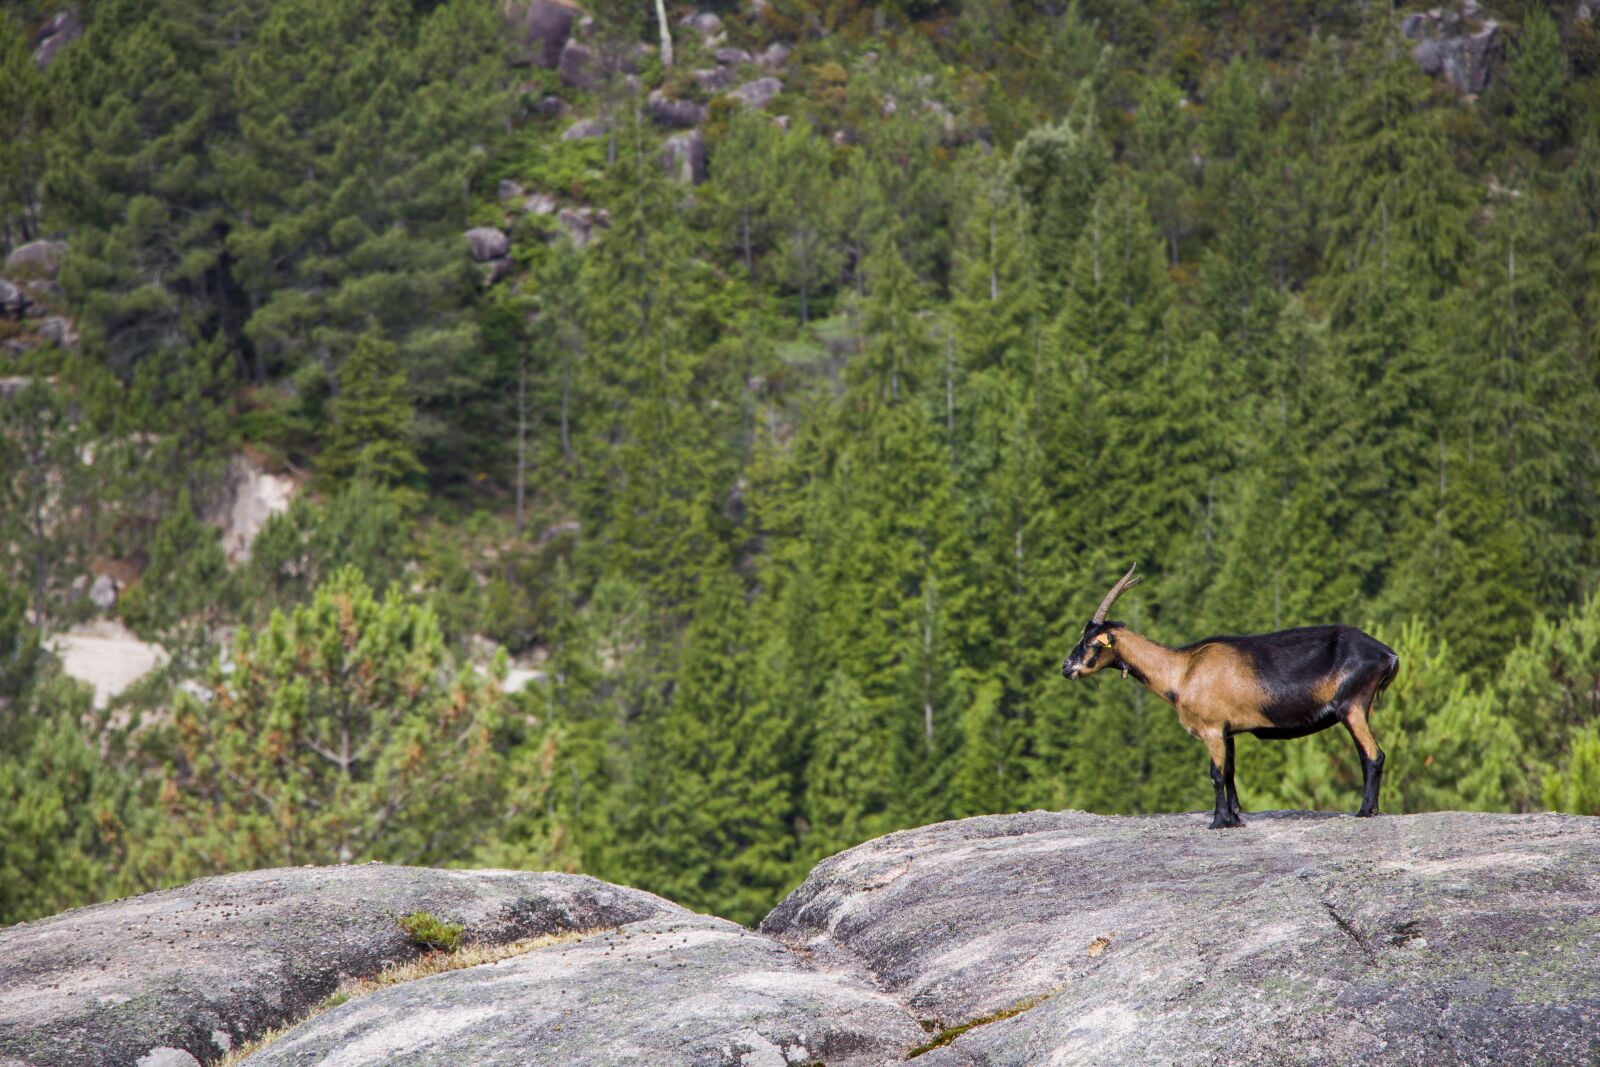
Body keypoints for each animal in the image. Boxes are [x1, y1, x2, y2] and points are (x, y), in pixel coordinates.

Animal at [1060, 564, 1400, 829]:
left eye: (1093, 642)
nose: (1066, 667)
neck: (1182, 670)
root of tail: (1387, 654)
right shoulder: (1229, 730)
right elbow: (1231, 771)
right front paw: (1235, 818)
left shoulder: (1211, 727)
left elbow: (1216, 773)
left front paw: (1218, 821)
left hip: (1351, 704)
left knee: (1373, 754)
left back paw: (1364, 811)